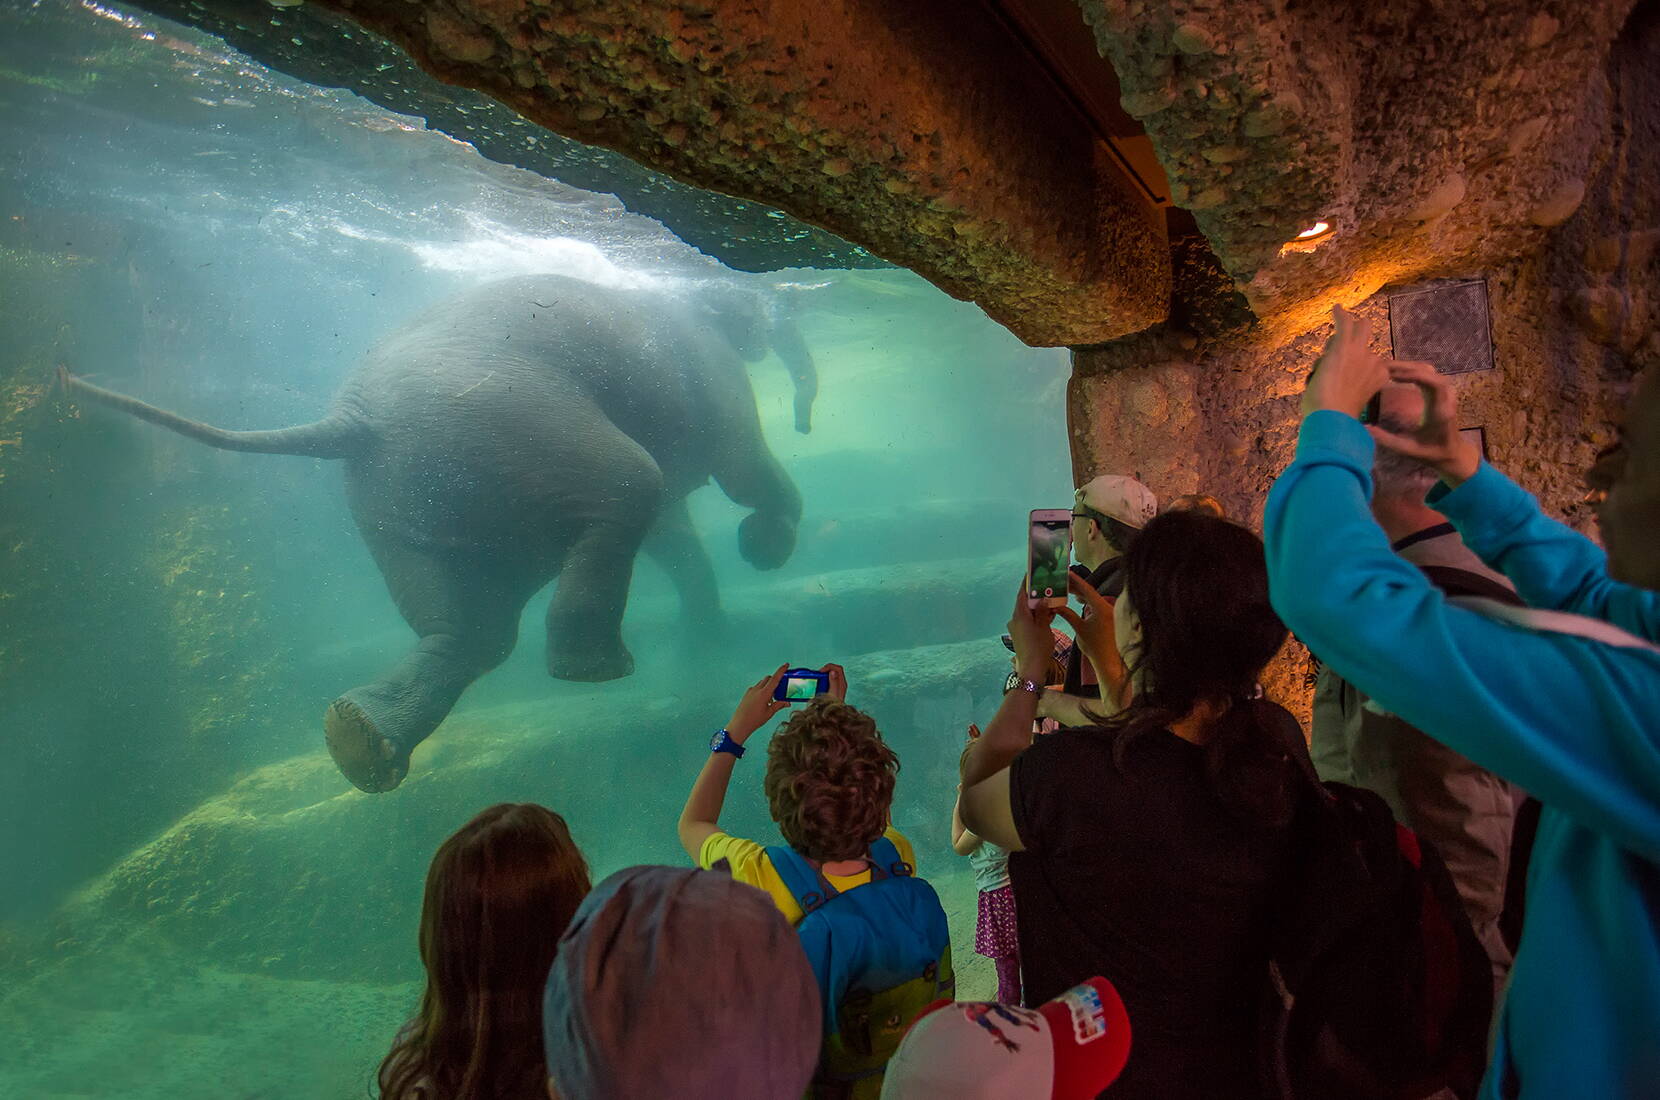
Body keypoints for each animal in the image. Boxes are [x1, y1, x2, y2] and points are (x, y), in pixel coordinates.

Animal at [61, 273, 813, 793]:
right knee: (624, 494)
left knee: (469, 631)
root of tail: (352, 419)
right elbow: (749, 468)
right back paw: (596, 669)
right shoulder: (720, 385)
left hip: (410, 520)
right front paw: (763, 550)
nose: (806, 419)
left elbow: (684, 536)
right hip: (523, 429)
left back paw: (359, 743)